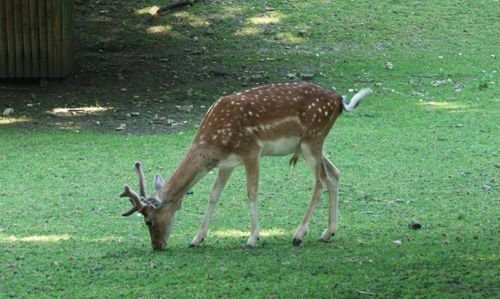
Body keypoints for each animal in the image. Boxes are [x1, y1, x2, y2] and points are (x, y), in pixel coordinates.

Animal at [120, 82, 372, 251]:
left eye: (148, 220)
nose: (157, 245)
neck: (213, 142)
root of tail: (339, 100)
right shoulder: (227, 163)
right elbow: (213, 194)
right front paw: (196, 239)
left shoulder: (251, 151)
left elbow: (251, 192)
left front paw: (252, 238)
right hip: (309, 144)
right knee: (334, 174)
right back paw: (328, 232)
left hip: (312, 139)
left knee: (320, 181)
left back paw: (299, 234)